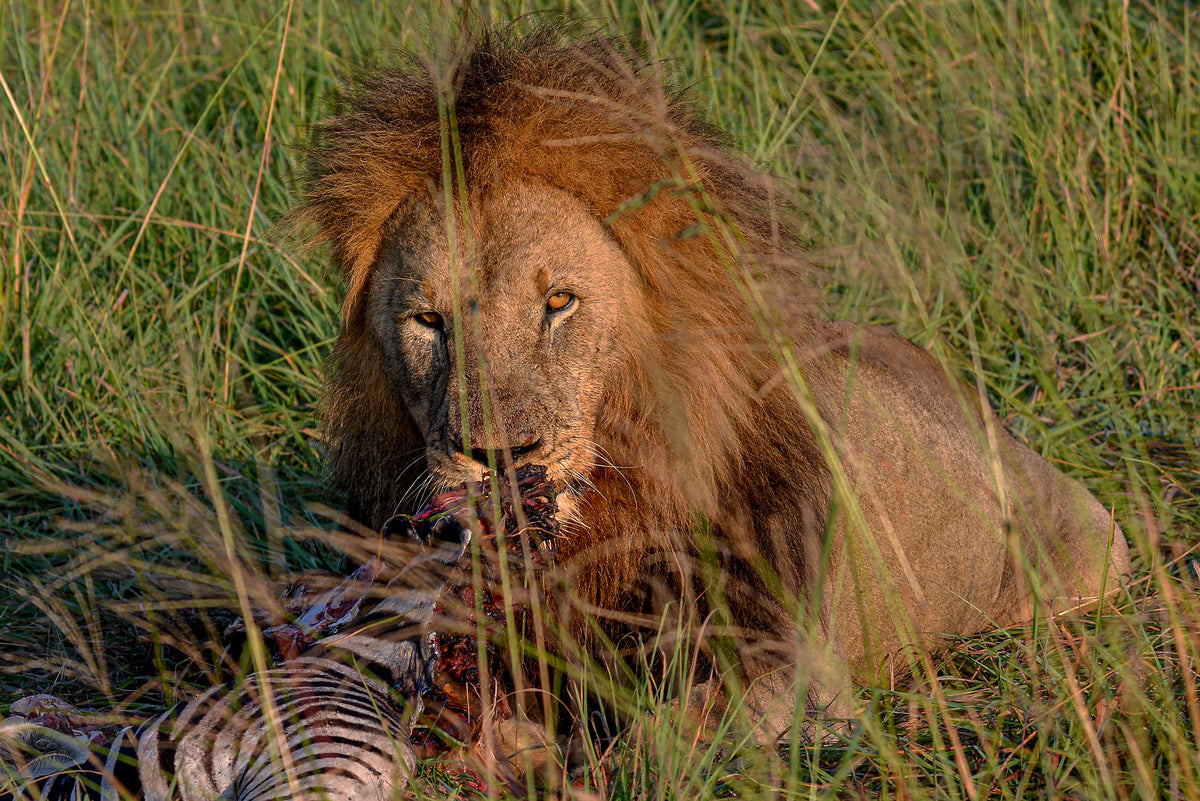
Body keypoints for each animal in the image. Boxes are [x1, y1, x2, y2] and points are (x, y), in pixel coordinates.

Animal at [294, 27, 1131, 762]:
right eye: (428, 321)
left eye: (559, 303)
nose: (498, 456)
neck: (605, 523)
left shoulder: (800, 674)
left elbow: (663, 738)